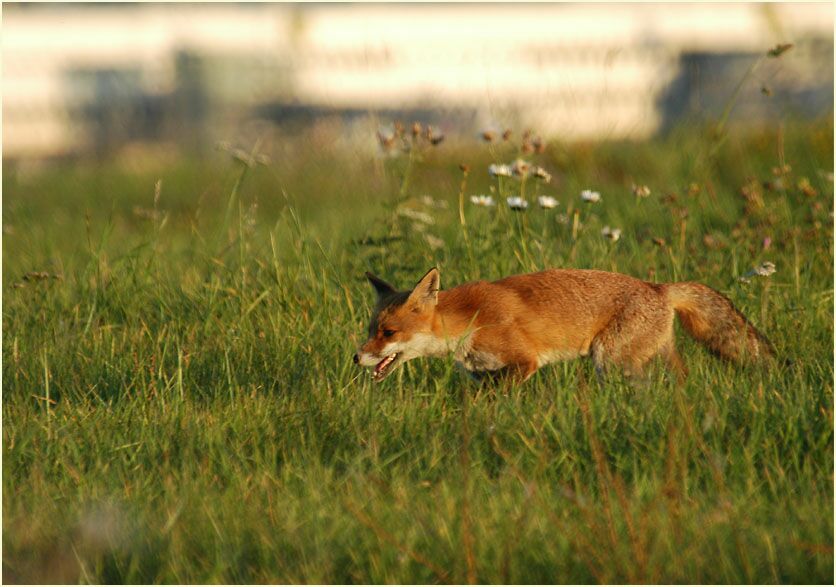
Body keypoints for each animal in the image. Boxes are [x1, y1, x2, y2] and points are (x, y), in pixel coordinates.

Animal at [353, 267, 774, 384]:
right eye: (371, 330)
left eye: (388, 334)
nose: (356, 357)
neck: (468, 321)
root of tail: (659, 287)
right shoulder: (480, 375)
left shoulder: (523, 362)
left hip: (611, 361)